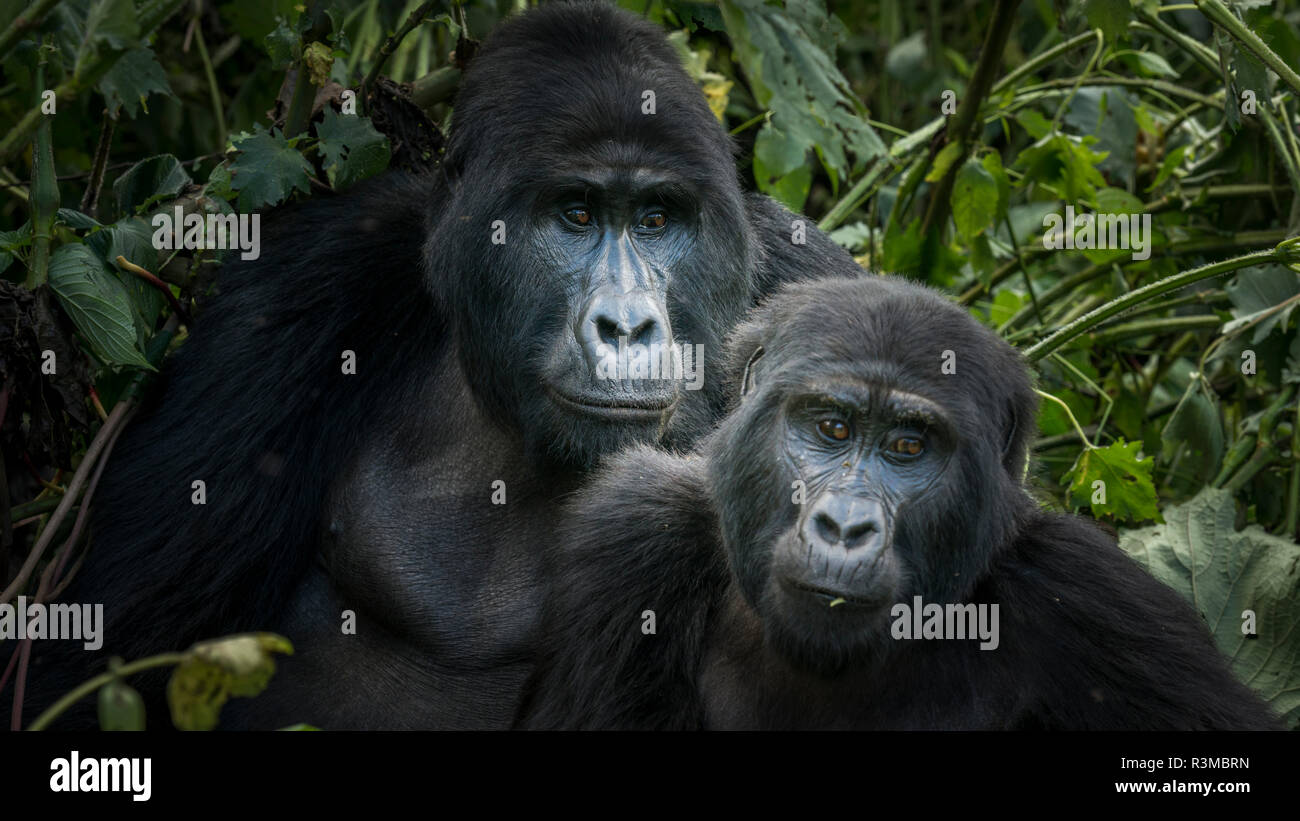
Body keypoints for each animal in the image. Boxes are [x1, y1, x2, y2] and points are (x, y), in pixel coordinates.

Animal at [20, 3, 852, 727]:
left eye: (656, 220)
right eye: (576, 214)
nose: (628, 325)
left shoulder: (806, 279)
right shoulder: (306, 281)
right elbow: (97, 659)